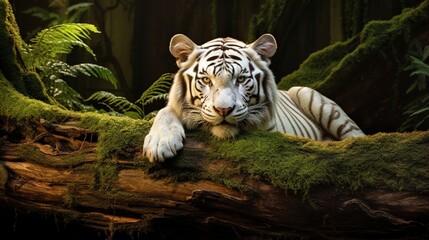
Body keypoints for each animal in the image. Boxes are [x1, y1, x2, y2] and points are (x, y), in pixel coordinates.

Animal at [142, 33, 362, 162]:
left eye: (240, 79)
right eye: (206, 80)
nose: (223, 110)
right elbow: (165, 111)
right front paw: (161, 143)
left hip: (307, 94)